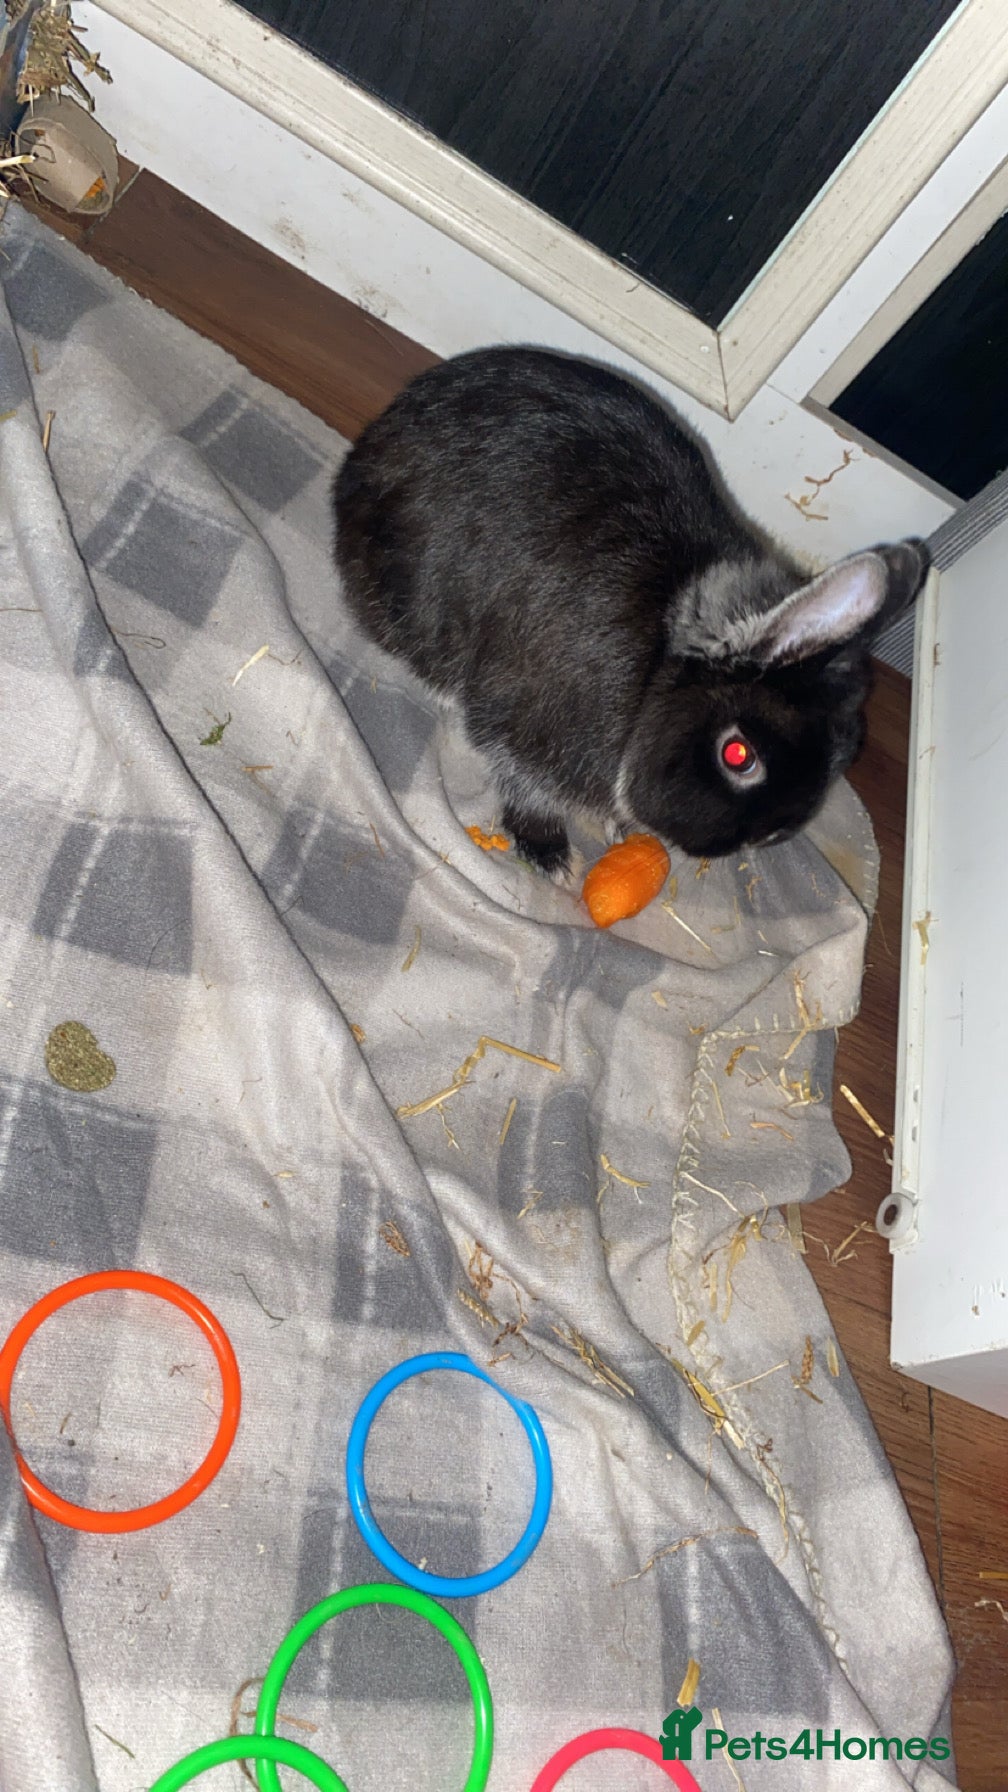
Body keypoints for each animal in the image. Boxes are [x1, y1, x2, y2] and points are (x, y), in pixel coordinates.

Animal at [333, 346, 929, 877]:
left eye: (841, 763)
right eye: (737, 755)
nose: (724, 847)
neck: (655, 671)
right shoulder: (527, 728)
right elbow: (525, 781)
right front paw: (549, 852)